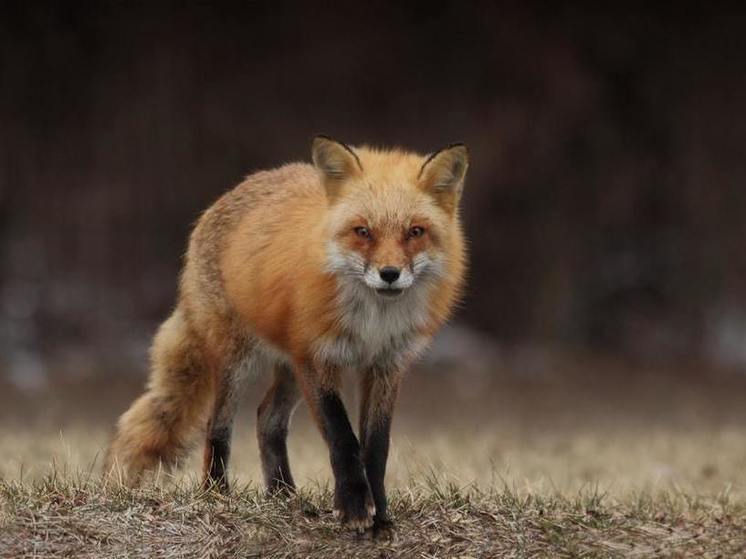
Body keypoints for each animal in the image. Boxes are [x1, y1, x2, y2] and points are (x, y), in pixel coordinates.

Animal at [104, 136, 468, 532]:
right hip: (240, 362)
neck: (373, 321)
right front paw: (354, 508)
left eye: (415, 232)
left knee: (267, 419)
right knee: (217, 427)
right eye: (363, 231)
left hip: (291, 368)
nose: (389, 274)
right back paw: (217, 493)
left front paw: (381, 516)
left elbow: (375, 446)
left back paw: (283, 495)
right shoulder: (318, 357)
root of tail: (232, 192)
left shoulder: (386, 365)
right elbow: (343, 439)